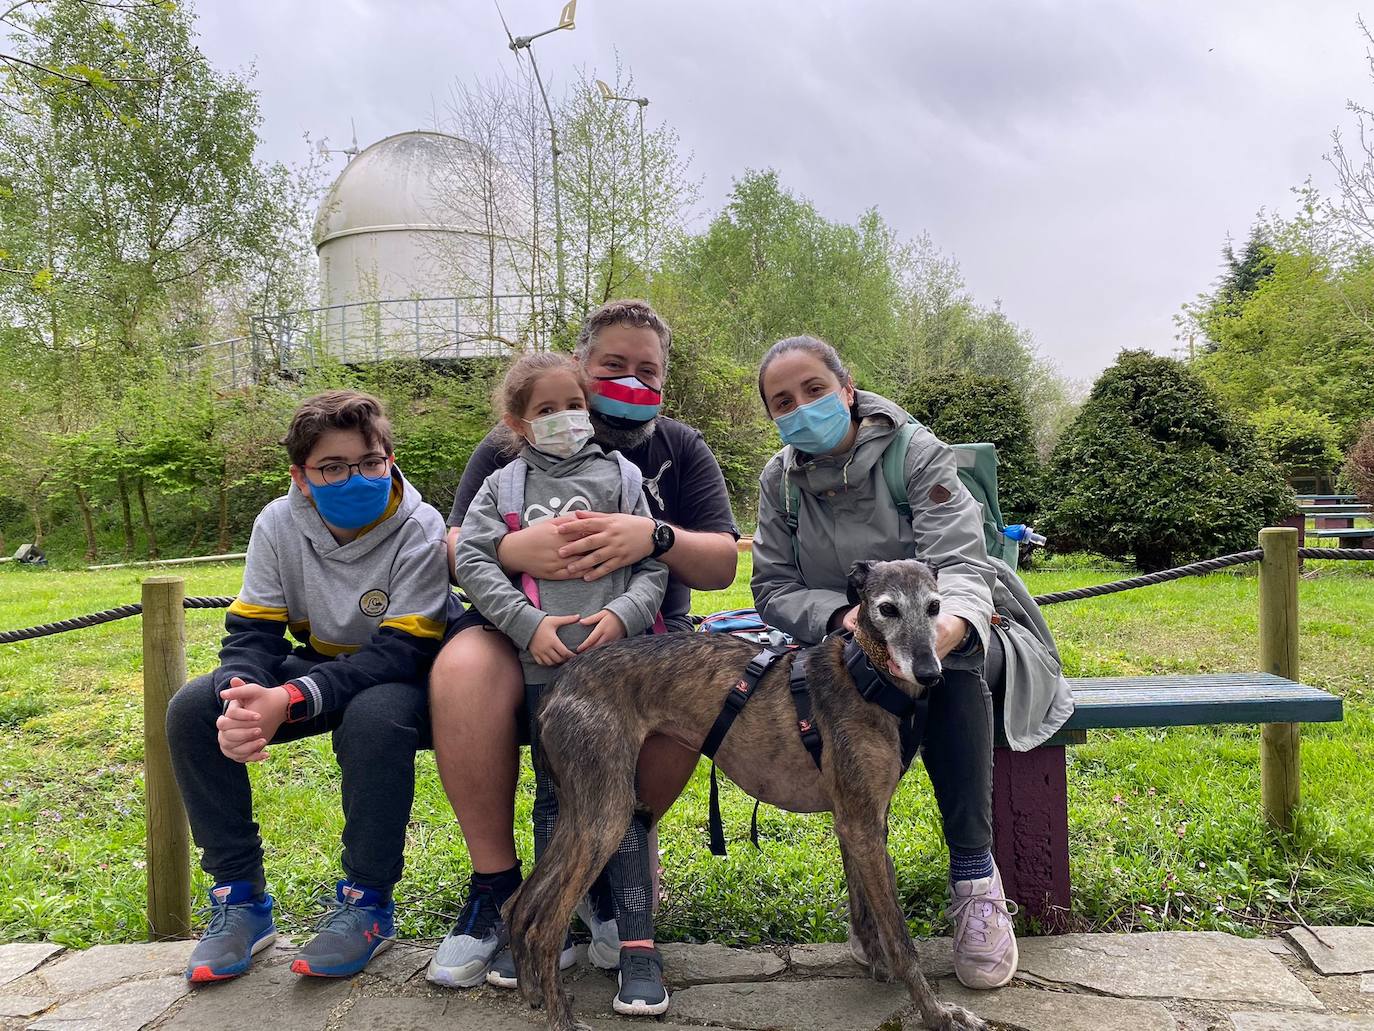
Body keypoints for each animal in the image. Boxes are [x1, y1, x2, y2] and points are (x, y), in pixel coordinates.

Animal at [505, 560, 989, 1031]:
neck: (863, 675)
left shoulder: (860, 824)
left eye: (934, 607)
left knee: (520, 904)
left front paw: (878, 969)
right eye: (888, 609)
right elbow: (901, 938)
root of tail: (560, 684)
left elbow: (866, 912)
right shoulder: (861, 825)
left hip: (585, 812)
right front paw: (937, 1012)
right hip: (606, 816)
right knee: (544, 924)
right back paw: (561, 1019)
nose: (930, 673)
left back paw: (531, 993)